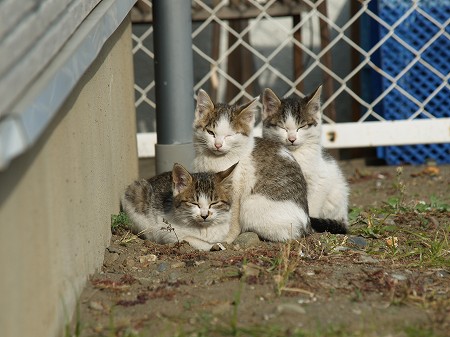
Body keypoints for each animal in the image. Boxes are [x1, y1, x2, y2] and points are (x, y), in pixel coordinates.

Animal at [260, 86, 352, 231]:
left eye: (301, 127)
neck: (296, 154)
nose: (292, 139)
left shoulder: (319, 180)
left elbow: (312, 204)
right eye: (282, 127)